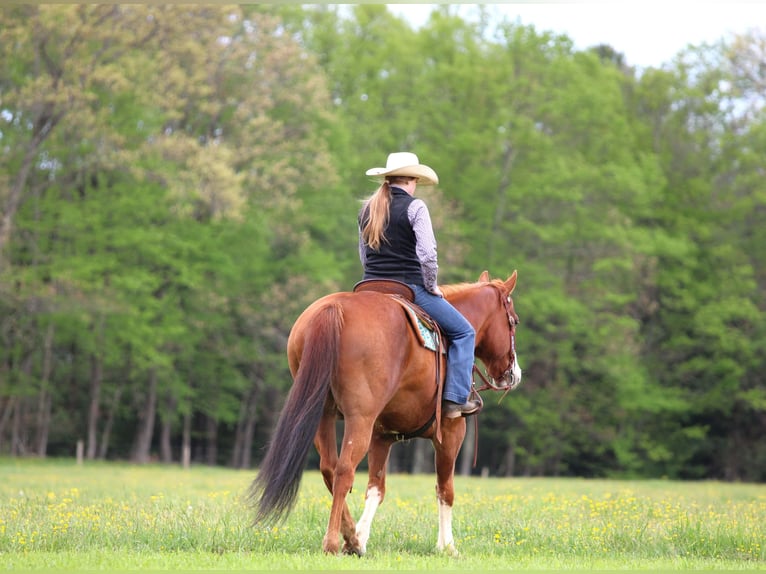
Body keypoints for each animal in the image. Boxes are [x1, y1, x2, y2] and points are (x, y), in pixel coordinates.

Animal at [248, 270, 521, 556]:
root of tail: (334, 308)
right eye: (514, 321)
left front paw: (360, 537)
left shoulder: (382, 436)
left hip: (323, 415)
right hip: (360, 419)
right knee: (344, 470)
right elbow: (445, 490)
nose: (513, 374)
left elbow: (376, 489)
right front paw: (447, 547)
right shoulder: (451, 432)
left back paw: (350, 538)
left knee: (329, 469)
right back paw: (332, 542)